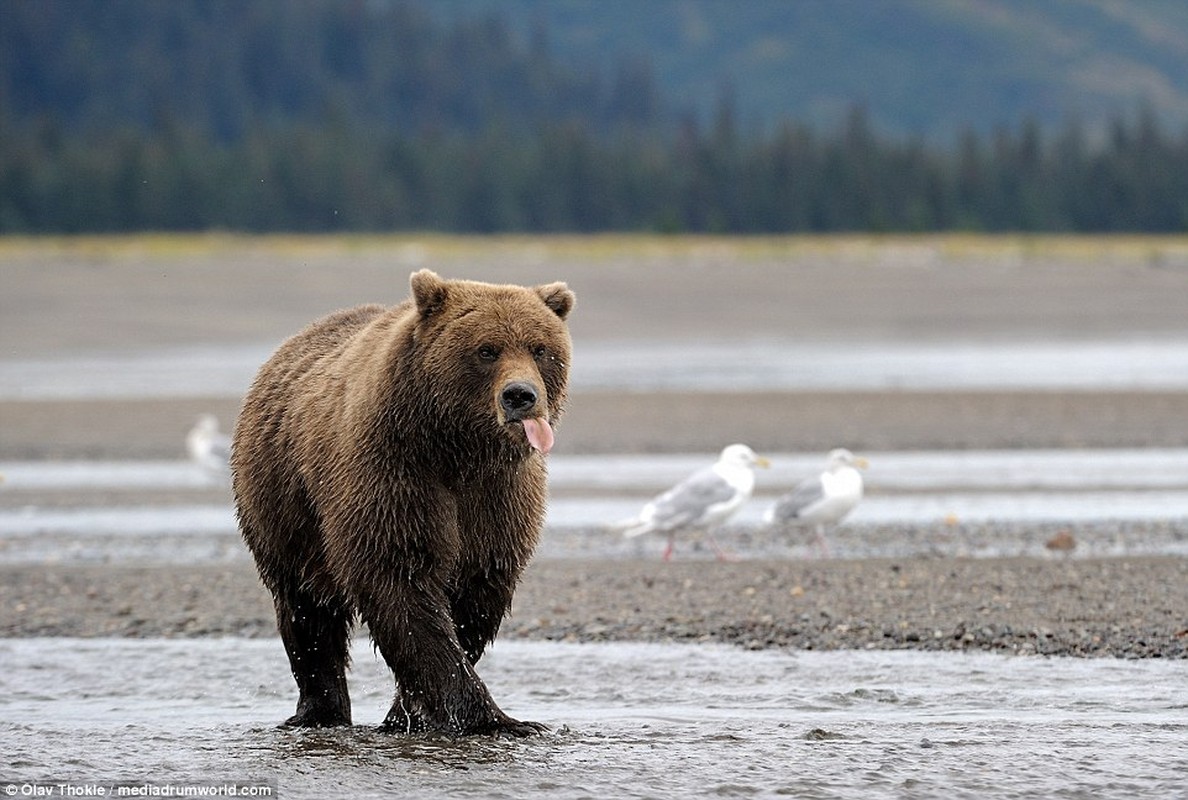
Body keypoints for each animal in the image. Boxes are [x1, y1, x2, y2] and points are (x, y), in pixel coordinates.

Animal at [231, 269, 574, 736]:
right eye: (487, 349)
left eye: (540, 349)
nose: (520, 395)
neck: (458, 450)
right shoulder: (394, 473)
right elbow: (401, 582)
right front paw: (492, 718)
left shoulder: (499, 498)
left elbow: (474, 597)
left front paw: (410, 713)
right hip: (283, 498)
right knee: (305, 608)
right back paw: (318, 711)